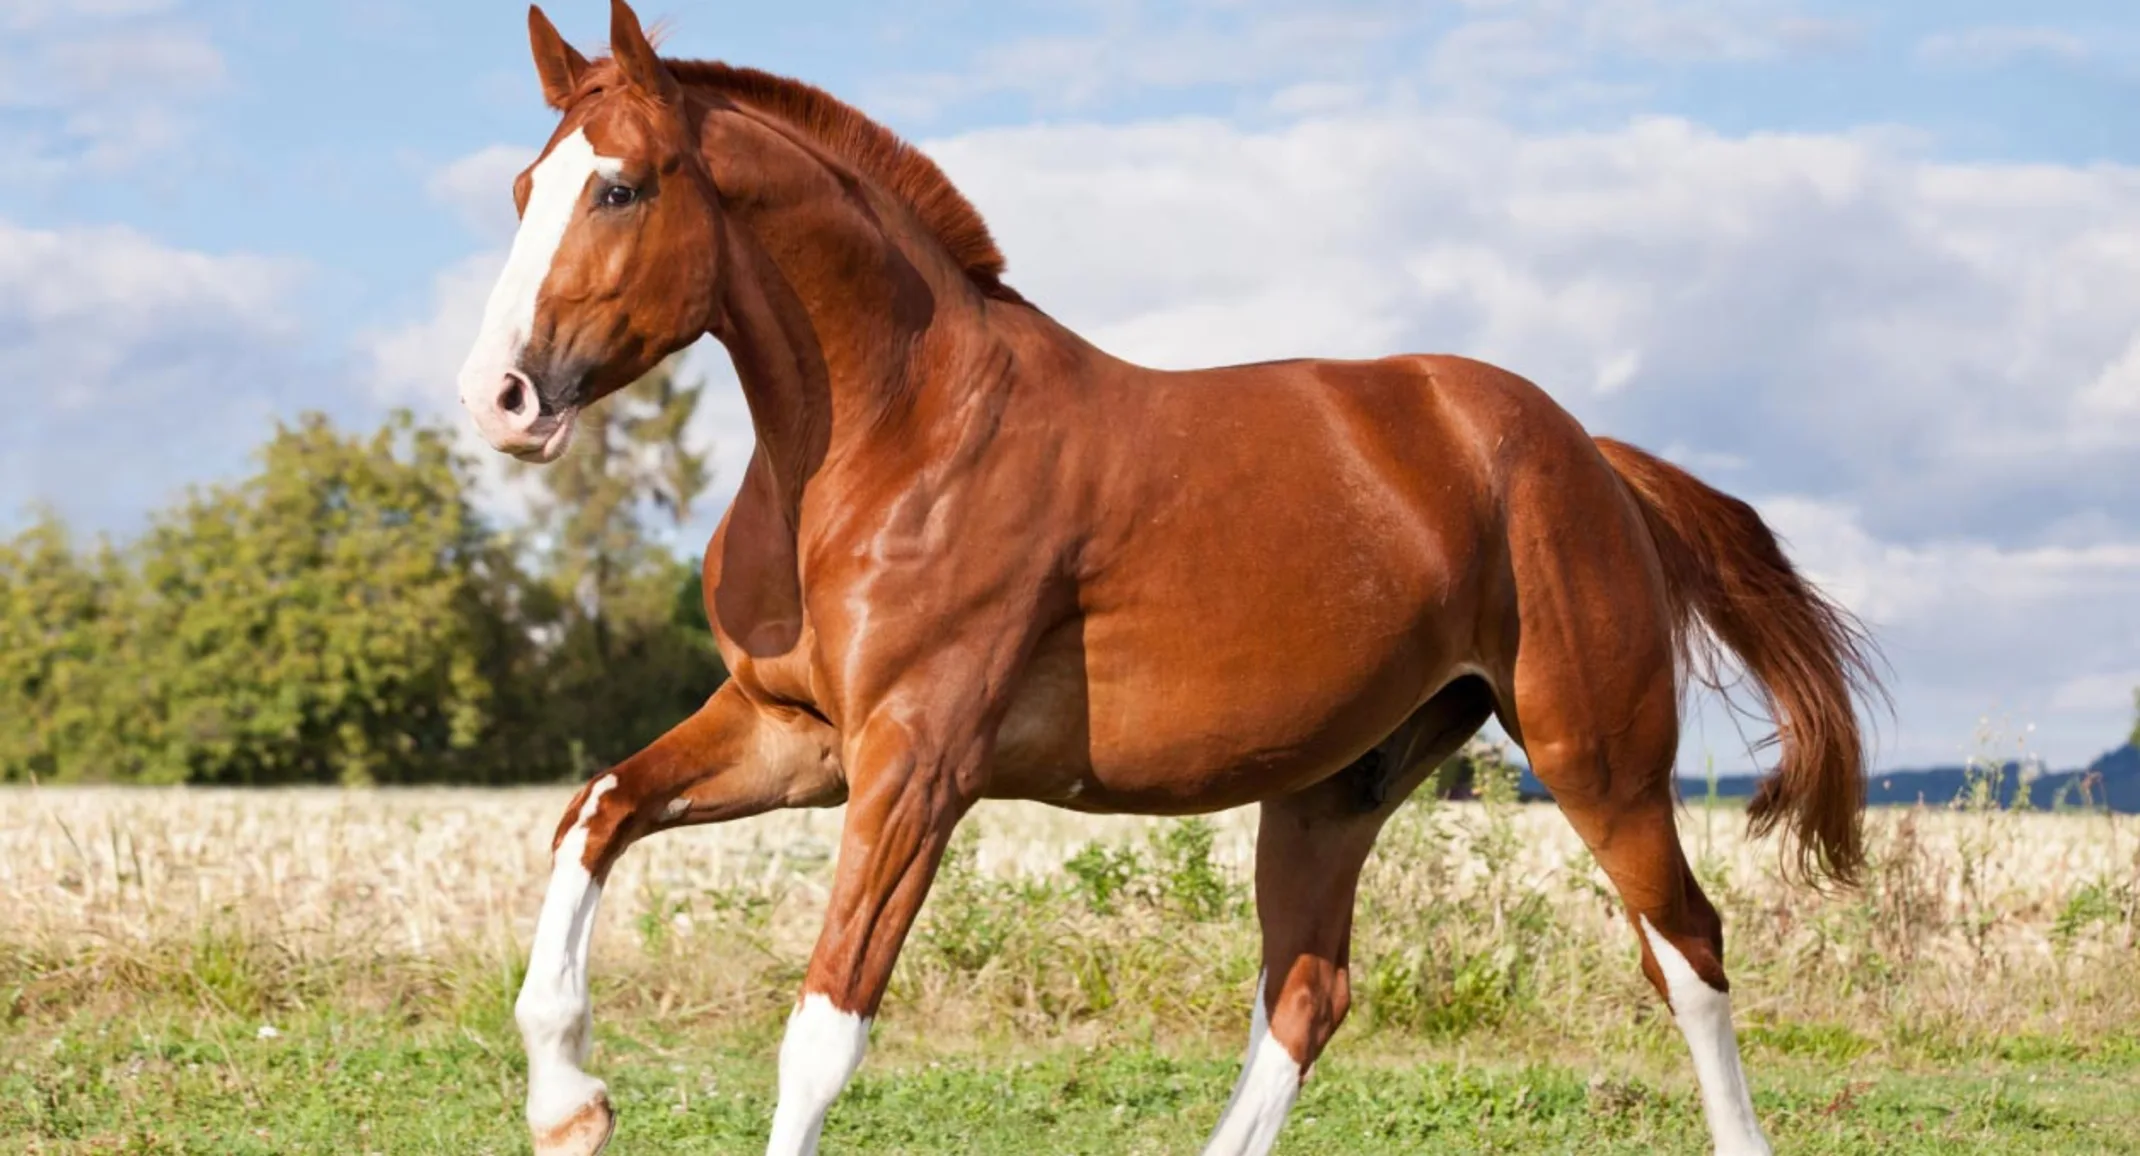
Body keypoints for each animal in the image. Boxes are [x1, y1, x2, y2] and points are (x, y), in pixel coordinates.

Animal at [456, 5, 1880, 1154]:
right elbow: (591, 813)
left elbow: (822, 1028)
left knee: (1686, 950)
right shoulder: (790, 734)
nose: (500, 398)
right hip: (1335, 786)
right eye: (525, 186)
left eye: (622, 189)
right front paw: (569, 1102)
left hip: (1596, 755)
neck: (895, 436)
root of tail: (1588, 456)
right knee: (1307, 992)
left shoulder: (917, 764)